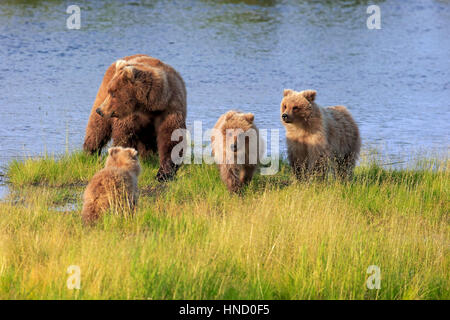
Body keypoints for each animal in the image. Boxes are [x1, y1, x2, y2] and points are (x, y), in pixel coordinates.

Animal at [83, 53, 187, 181]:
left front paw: (163, 174)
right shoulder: (130, 116)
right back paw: (89, 152)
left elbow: (171, 138)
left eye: (113, 93)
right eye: (110, 92)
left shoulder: (170, 108)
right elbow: (124, 135)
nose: (100, 110)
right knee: (97, 128)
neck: (149, 106)